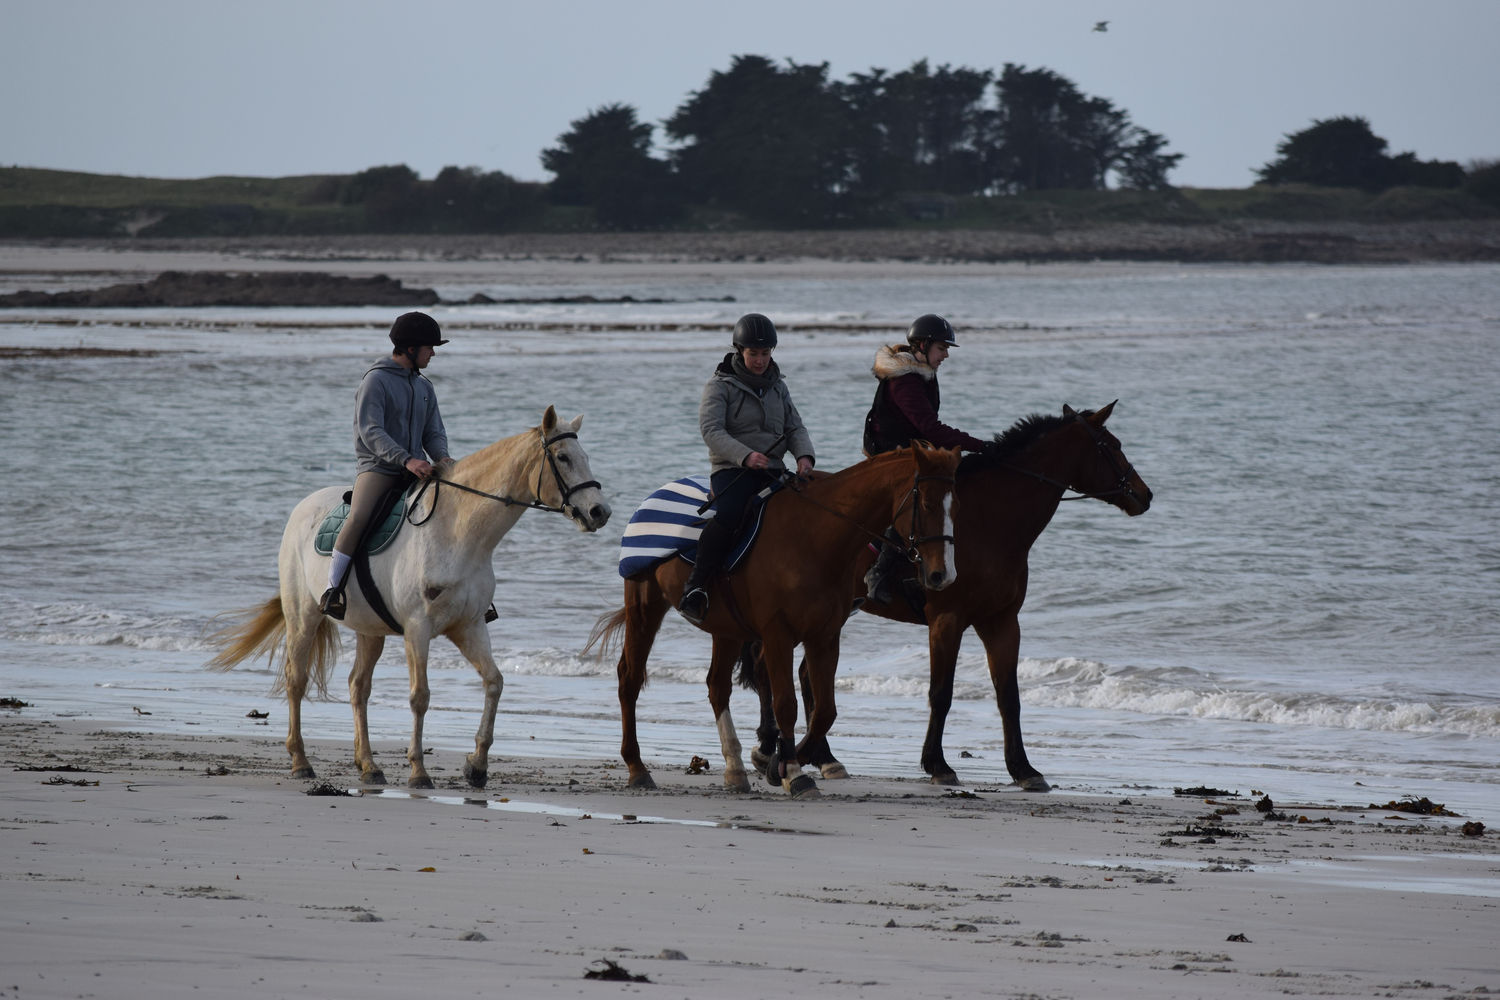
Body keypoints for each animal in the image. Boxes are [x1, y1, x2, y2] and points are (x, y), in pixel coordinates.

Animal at [208, 407, 612, 791]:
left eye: (585, 456)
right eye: (562, 457)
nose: (600, 512)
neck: (459, 532)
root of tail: (303, 507)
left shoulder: (469, 626)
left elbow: (494, 683)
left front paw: (477, 766)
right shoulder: (418, 628)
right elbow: (420, 696)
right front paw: (419, 772)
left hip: (369, 630)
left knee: (358, 687)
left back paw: (369, 767)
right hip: (303, 616)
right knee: (297, 680)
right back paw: (301, 762)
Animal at [585, 440, 960, 803]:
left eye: (954, 506)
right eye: (927, 503)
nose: (941, 575)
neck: (815, 537)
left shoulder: (824, 637)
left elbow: (825, 711)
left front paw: (780, 762)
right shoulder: (778, 635)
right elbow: (786, 704)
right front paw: (793, 772)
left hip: (726, 629)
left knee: (717, 686)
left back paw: (735, 770)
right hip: (645, 606)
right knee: (630, 678)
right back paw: (637, 767)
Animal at [747, 404, 1146, 791]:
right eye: (1112, 446)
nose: (1145, 495)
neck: (990, 523)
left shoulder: (1001, 621)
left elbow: (1009, 697)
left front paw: (1023, 768)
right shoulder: (947, 620)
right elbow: (941, 693)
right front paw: (938, 764)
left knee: (801, 674)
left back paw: (822, 757)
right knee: (771, 669)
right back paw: (770, 749)